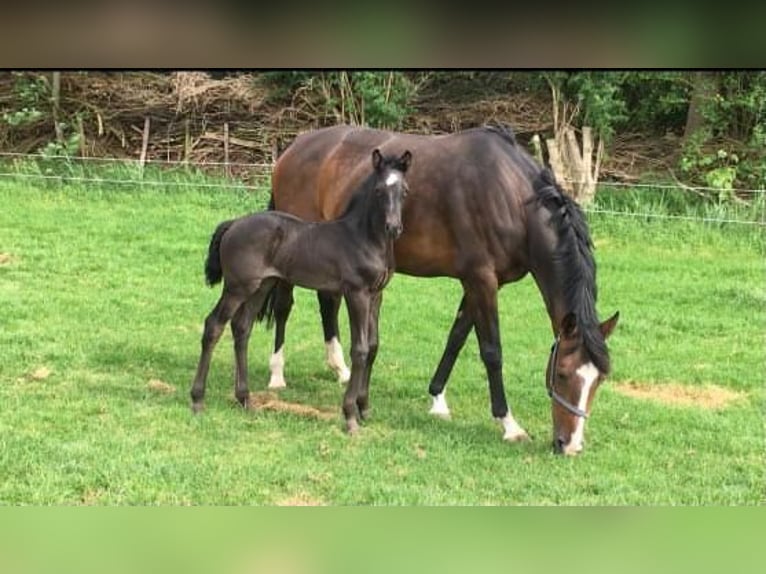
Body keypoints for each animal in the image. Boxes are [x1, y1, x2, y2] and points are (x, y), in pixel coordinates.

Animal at [190, 148, 412, 433]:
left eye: (404, 190)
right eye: (378, 190)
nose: (393, 228)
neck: (364, 238)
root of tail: (234, 224)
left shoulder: (376, 295)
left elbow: (373, 346)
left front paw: (364, 408)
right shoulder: (357, 293)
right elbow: (360, 349)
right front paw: (350, 415)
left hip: (261, 286)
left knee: (242, 328)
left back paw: (245, 399)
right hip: (237, 286)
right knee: (214, 325)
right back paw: (198, 400)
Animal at [265, 123, 619, 456]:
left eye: (599, 380)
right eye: (562, 374)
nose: (570, 445)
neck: (511, 197)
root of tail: (294, 148)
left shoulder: (478, 283)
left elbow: (456, 338)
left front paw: (437, 399)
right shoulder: (481, 280)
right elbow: (492, 351)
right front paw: (509, 424)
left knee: (328, 301)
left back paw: (339, 368)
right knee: (284, 306)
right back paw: (277, 374)